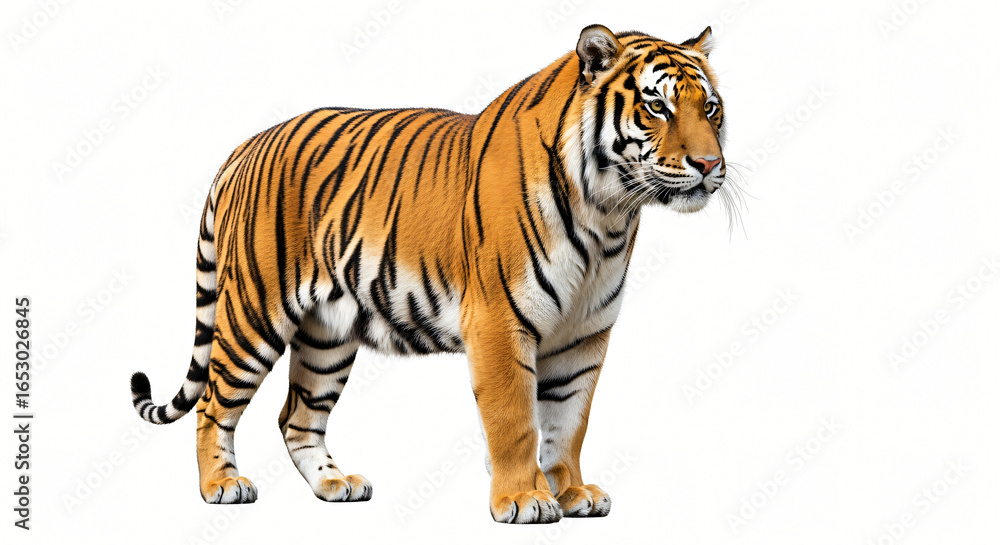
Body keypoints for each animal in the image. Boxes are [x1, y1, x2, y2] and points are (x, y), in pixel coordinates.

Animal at [130, 24, 730, 524]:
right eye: (657, 106)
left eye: (711, 108)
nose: (709, 165)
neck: (608, 214)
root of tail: (243, 148)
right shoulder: (499, 322)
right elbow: (515, 420)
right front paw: (524, 499)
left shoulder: (584, 335)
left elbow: (568, 423)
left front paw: (573, 493)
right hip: (254, 314)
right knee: (213, 404)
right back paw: (222, 486)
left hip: (327, 337)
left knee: (296, 416)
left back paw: (335, 485)